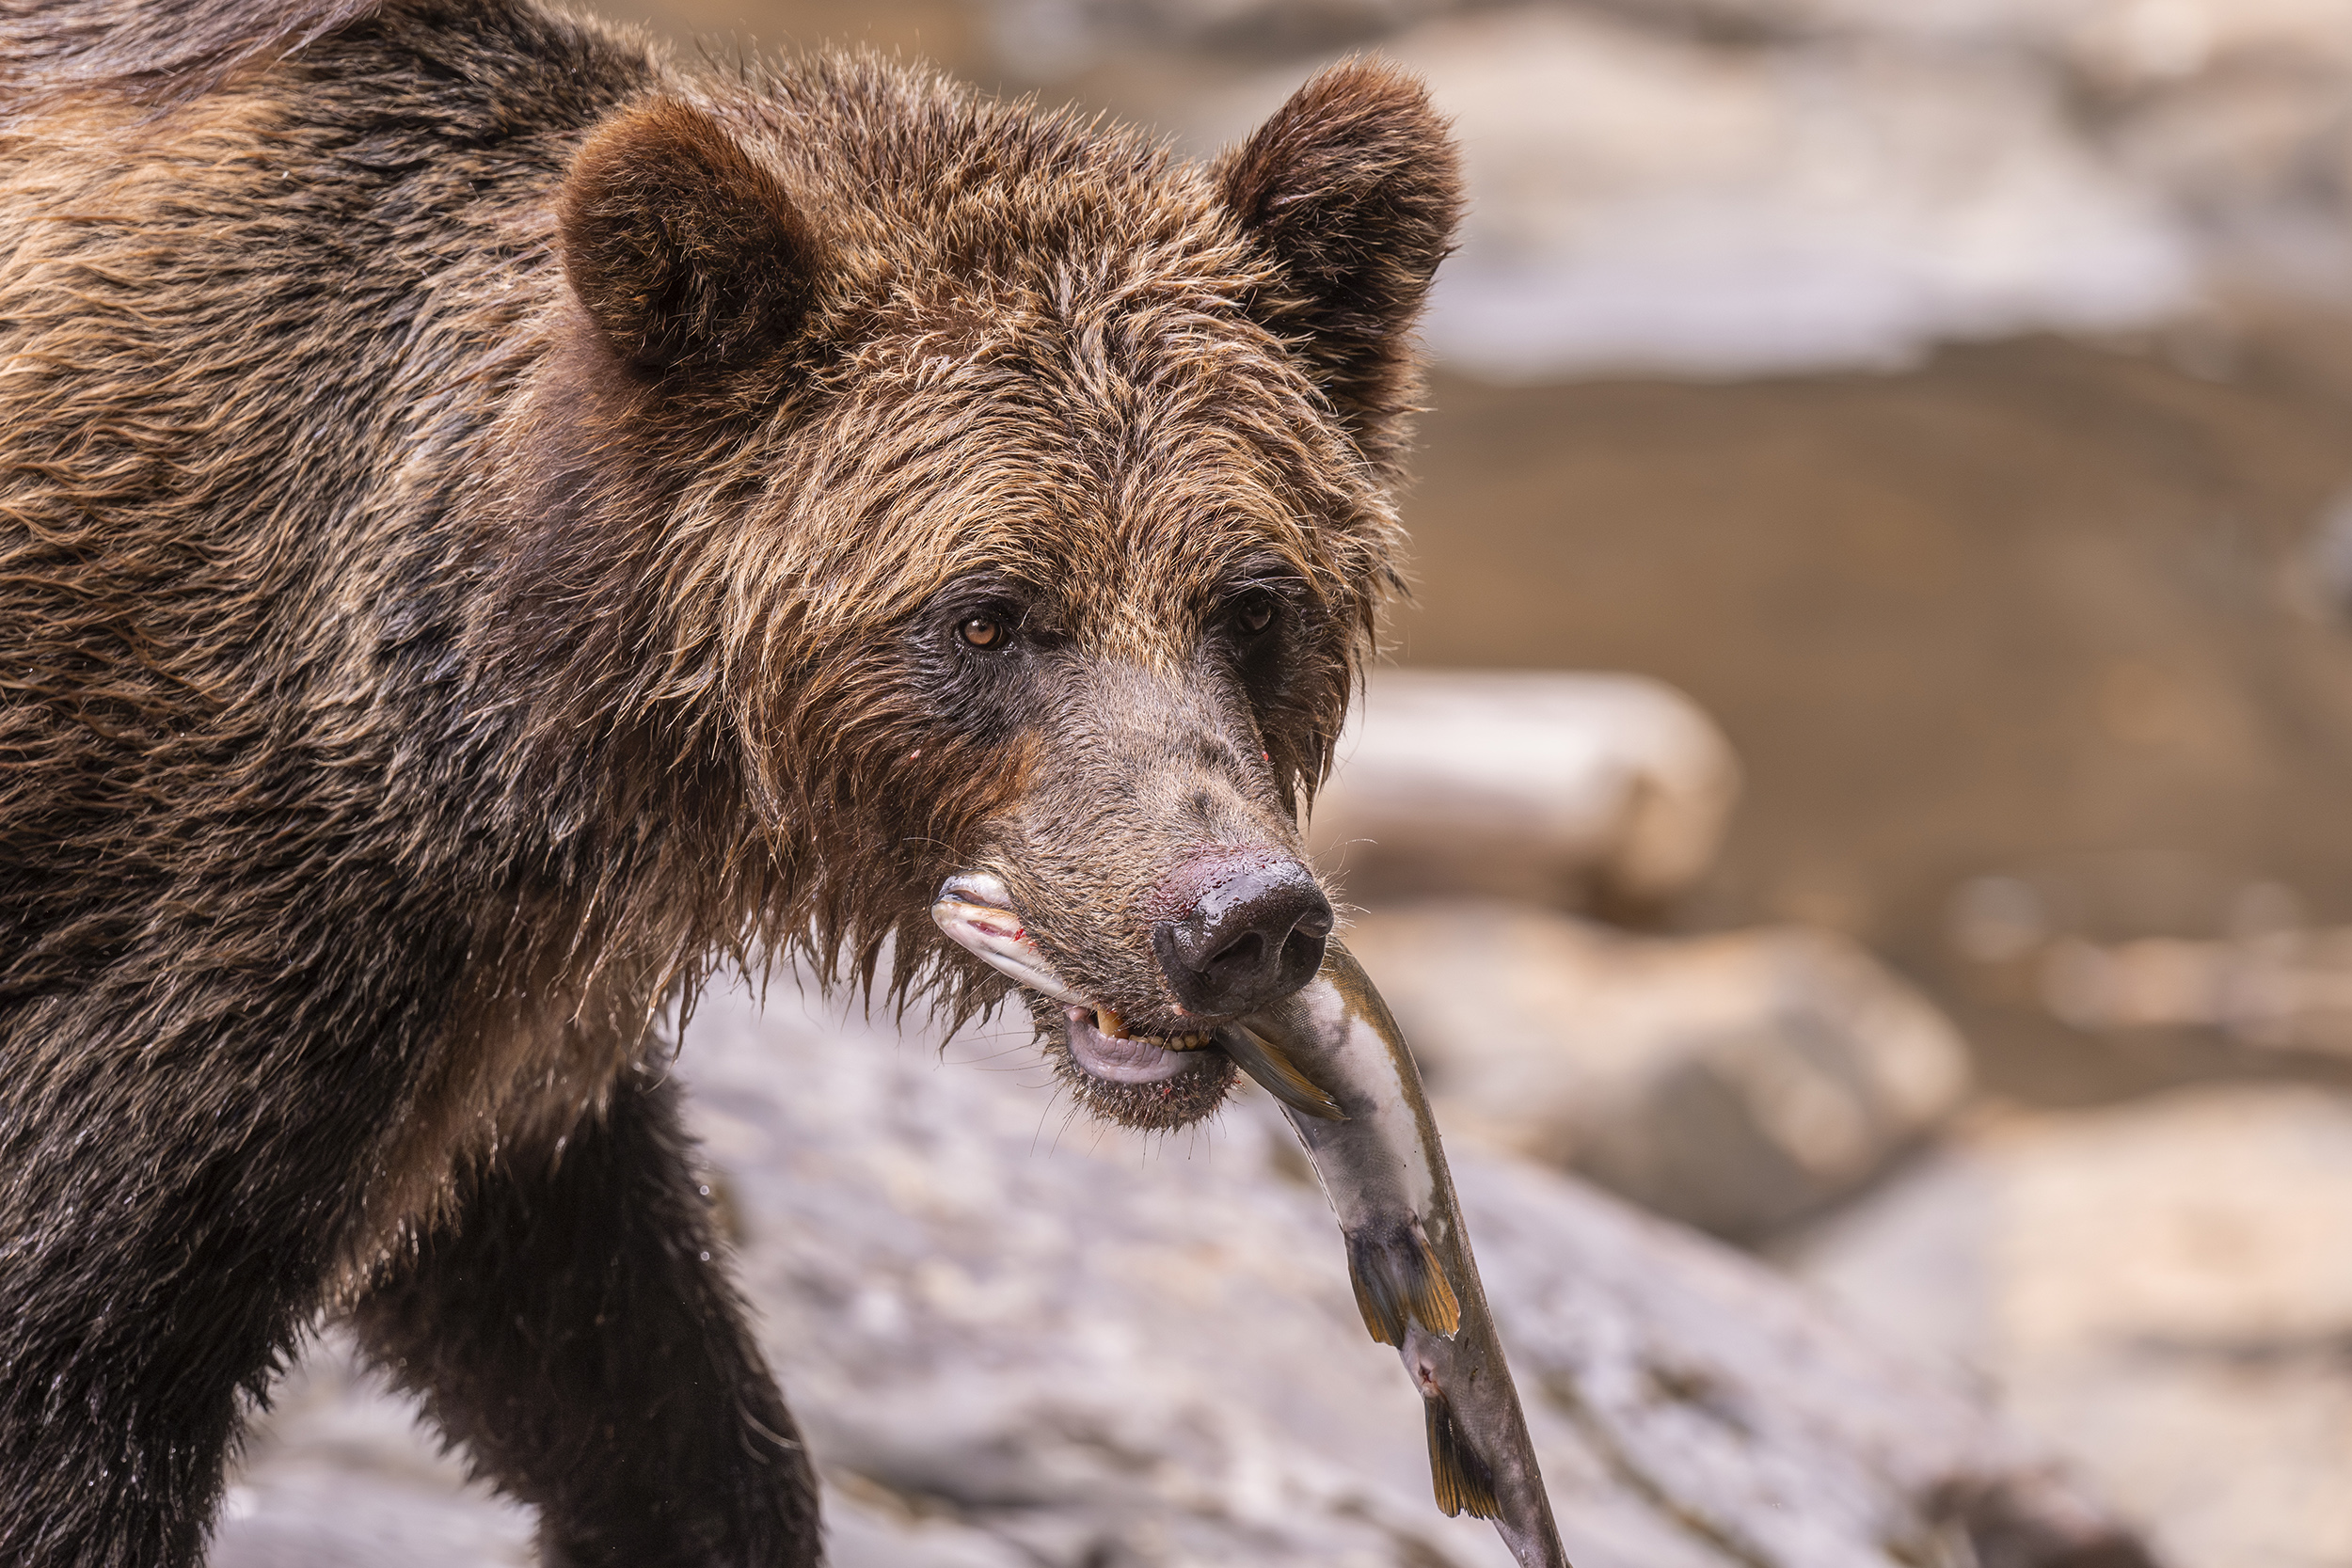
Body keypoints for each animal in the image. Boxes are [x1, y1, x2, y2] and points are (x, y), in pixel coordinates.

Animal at [0, 2, 1461, 1563]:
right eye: (988, 613)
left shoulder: (500, 1033)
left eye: (1252, 602)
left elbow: (627, 1376)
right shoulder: (198, 926)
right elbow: (77, 1386)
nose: (1237, 914)